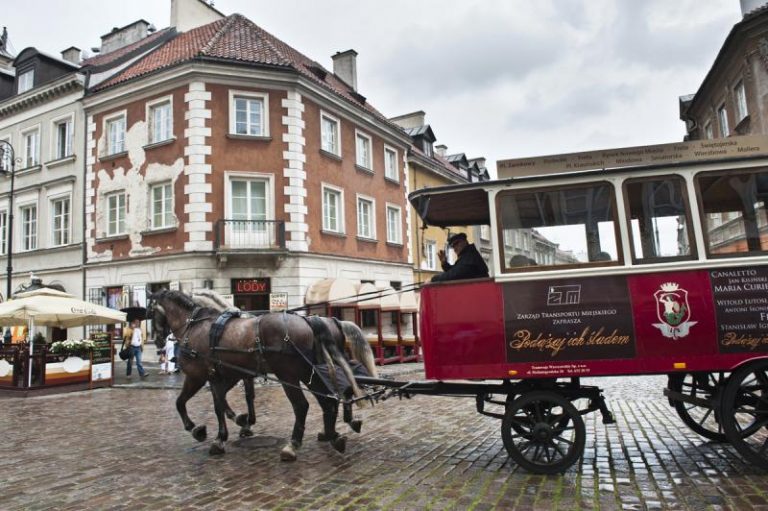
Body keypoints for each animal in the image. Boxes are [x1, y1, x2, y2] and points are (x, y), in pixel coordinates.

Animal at [149, 290, 368, 462]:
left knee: (303, 405)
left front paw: (209, 434)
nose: (158, 342)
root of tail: (310, 320)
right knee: (328, 401)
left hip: (288, 374)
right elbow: (230, 400)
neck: (195, 327)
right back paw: (333, 436)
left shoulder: (201, 376)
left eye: (150, 312)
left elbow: (200, 404)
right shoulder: (228, 375)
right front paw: (240, 422)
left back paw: (293, 445)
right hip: (310, 372)